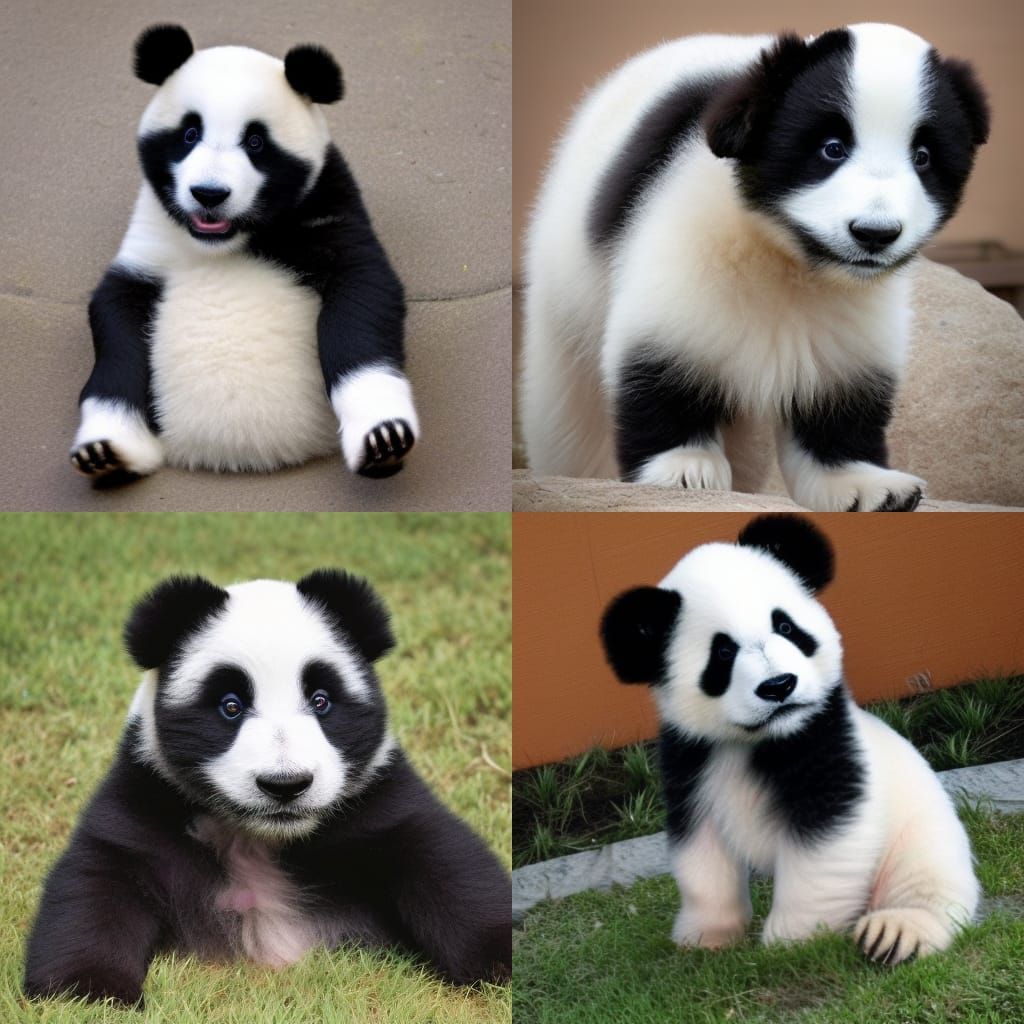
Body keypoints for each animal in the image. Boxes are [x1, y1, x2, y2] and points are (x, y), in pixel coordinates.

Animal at [24, 570, 510, 1006]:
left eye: (321, 701)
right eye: (230, 706)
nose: (285, 784)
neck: (261, 838)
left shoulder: (379, 799)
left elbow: (447, 866)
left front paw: (499, 962)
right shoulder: (145, 795)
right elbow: (96, 886)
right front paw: (88, 991)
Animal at [70, 24, 418, 484]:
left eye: (255, 142)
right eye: (189, 134)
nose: (209, 194)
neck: (225, 243)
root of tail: (236, 455)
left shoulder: (329, 203)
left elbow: (362, 301)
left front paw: (382, 434)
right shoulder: (149, 244)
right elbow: (115, 326)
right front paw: (107, 442)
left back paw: (385, 460)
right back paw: (110, 460)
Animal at [522, 24, 990, 511]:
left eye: (922, 156)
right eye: (832, 149)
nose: (875, 233)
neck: (793, 258)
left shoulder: (856, 311)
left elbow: (839, 393)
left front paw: (866, 484)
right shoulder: (688, 235)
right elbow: (660, 358)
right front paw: (682, 468)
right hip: (566, 282)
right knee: (570, 411)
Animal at [600, 514, 978, 963]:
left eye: (785, 626)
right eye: (723, 653)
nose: (778, 686)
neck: (762, 739)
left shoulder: (827, 743)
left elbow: (823, 849)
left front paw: (791, 942)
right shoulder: (691, 759)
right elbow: (701, 850)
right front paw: (706, 937)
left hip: (919, 830)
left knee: (925, 878)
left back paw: (896, 931)